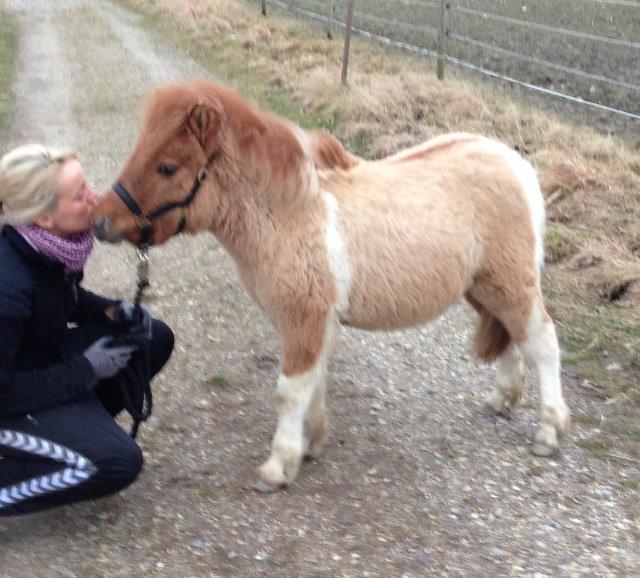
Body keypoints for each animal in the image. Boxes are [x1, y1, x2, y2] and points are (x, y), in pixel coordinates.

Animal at [91, 79, 568, 488]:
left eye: (167, 166)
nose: (100, 221)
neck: (292, 213)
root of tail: (516, 164)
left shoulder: (304, 318)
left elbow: (290, 390)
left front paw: (279, 466)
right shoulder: (313, 322)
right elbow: (314, 382)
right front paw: (310, 444)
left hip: (512, 283)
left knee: (542, 341)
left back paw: (549, 430)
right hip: (484, 288)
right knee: (511, 337)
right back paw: (503, 399)